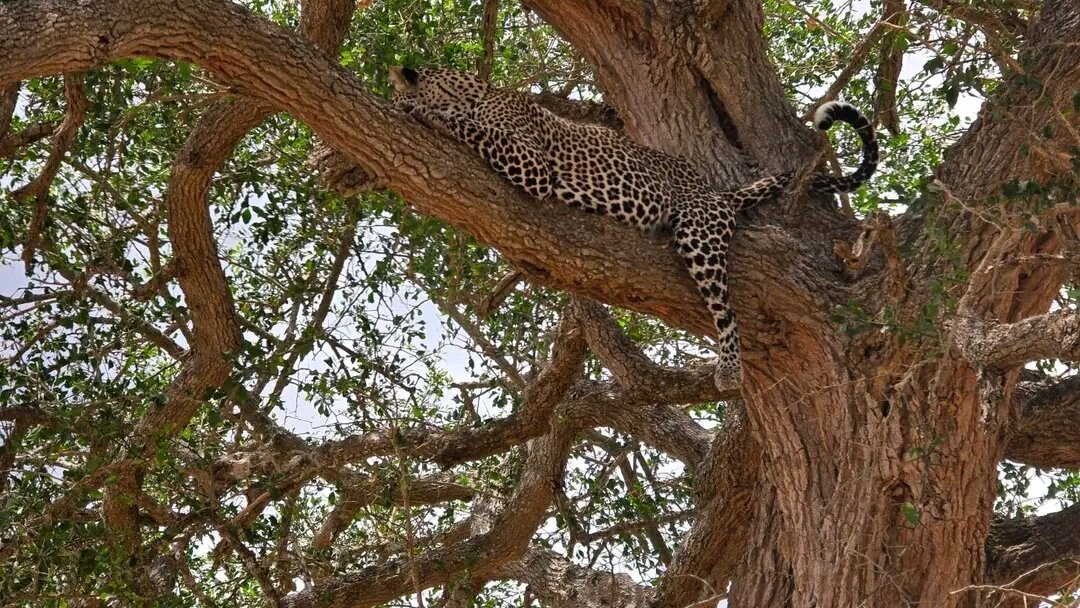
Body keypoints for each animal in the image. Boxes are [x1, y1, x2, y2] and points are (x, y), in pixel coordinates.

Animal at [389, 66, 879, 391]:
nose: (396, 92)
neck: (476, 92)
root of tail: (717, 194)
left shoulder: (532, 164)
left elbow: (471, 127)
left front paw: (420, 109)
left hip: (700, 236)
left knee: (726, 309)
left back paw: (729, 369)